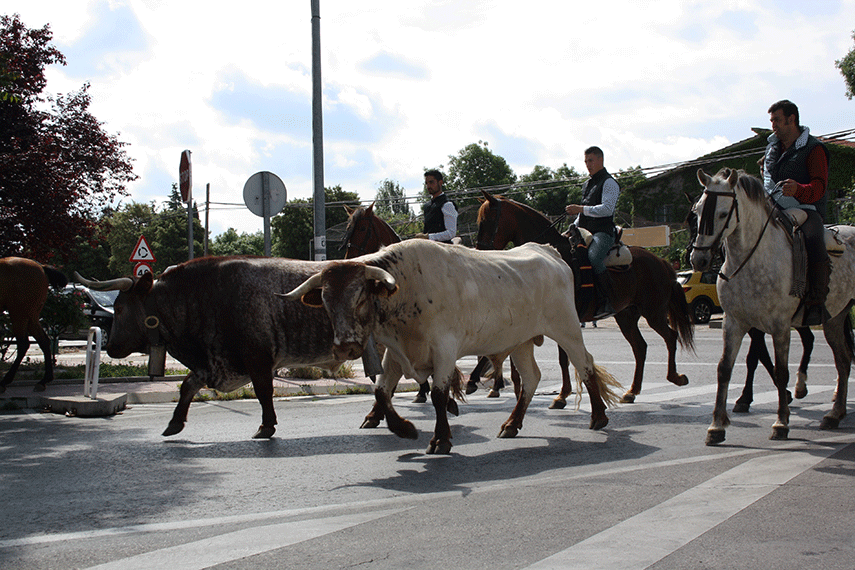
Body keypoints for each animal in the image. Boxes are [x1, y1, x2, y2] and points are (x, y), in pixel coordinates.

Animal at [0, 256, 67, 390]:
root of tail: (41, 266)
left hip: (19, 314)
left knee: (23, 344)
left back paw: (5, 381)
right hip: (31, 316)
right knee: (44, 341)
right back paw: (44, 380)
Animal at [76, 255, 344, 438]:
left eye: (120, 308)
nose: (111, 347)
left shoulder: (257, 358)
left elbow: (264, 392)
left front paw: (266, 426)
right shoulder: (212, 364)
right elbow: (187, 386)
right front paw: (174, 422)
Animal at [284, 239, 620, 452]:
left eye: (360, 297)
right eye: (326, 302)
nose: (345, 347)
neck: (406, 287)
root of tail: (548, 251)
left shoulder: (444, 349)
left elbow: (437, 394)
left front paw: (440, 439)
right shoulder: (397, 353)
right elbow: (381, 391)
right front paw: (404, 429)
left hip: (566, 328)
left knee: (585, 364)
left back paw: (598, 417)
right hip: (521, 340)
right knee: (532, 378)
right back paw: (512, 424)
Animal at [474, 191, 696, 408]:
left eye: (487, 220)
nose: (480, 251)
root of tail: (661, 262)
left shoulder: (560, 319)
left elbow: (563, 357)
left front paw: (561, 394)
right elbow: (559, 357)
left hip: (654, 312)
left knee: (670, 337)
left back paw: (675, 377)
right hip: (626, 316)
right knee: (640, 347)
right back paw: (632, 391)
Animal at [688, 168, 855, 444]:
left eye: (723, 213)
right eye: (698, 211)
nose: (698, 259)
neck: (751, 260)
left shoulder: (779, 326)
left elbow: (780, 371)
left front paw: (781, 422)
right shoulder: (734, 323)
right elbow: (725, 369)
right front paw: (716, 426)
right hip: (835, 317)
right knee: (842, 360)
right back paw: (834, 414)